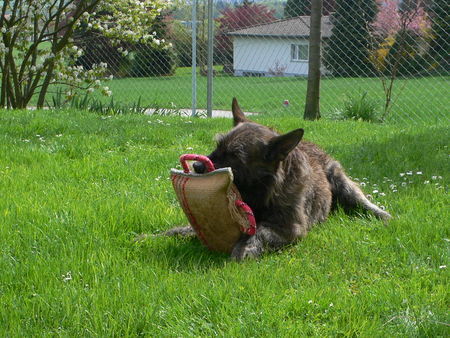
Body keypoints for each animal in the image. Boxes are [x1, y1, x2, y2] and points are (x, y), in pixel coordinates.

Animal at [167, 97, 392, 262]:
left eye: (235, 156)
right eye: (218, 145)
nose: (196, 167)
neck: (261, 191)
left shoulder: (290, 228)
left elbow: (259, 231)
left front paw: (245, 247)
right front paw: (175, 232)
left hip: (341, 181)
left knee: (364, 202)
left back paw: (382, 215)